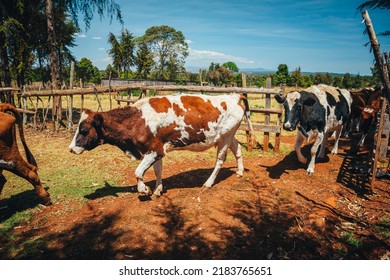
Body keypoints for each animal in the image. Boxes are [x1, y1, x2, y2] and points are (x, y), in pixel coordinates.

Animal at [69, 93, 256, 196]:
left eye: (84, 130)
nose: (71, 149)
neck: (137, 119)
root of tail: (232, 96)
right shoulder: (156, 149)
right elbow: (157, 170)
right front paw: (158, 189)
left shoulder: (153, 151)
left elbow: (138, 172)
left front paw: (144, 190)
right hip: (229, 135)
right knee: (238, 148)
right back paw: (239, 171)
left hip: (224, 137)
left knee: (220, 160)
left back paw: (208, 183)